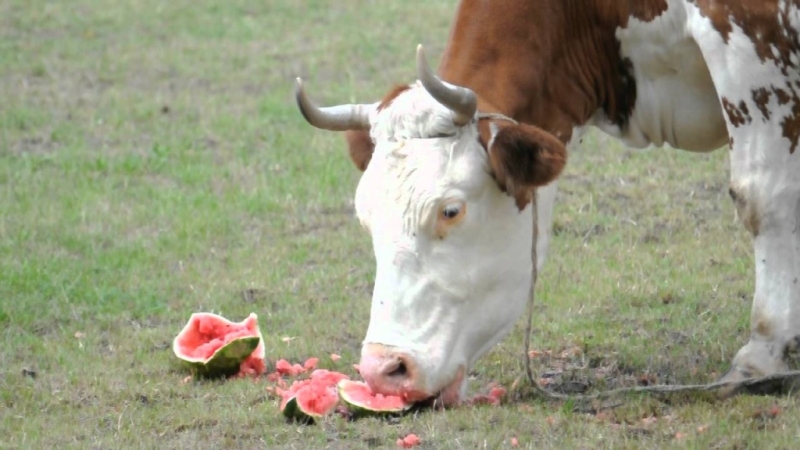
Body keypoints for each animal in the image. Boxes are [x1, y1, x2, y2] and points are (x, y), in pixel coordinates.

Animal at [292, 0, 800, 406]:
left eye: (451, 210)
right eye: (365, 218)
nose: (383, 371)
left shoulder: (749, 35)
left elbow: (761, 196)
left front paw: (763, 355)